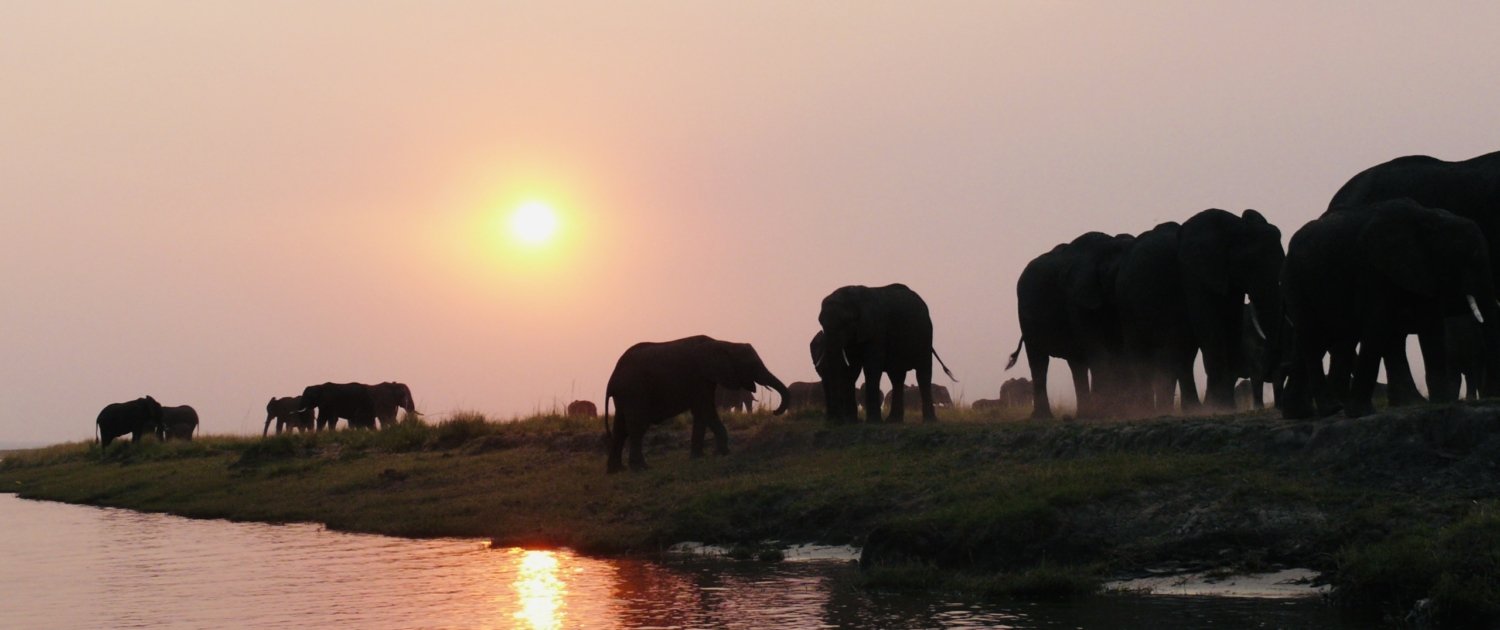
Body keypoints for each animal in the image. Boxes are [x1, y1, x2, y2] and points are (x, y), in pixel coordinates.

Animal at [603, 337, 792, 471]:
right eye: (752, 365)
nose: (774, 411)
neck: (723, 343)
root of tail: (612, 379)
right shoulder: (698, 376)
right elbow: (705, 409)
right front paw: (721, 453)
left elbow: (702, 412)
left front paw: (701, 456)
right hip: (634, 390)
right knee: (637, 425)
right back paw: (641, 467)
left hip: (626, 394)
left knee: (620, 427)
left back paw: (617, 470)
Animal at [816, 283, 954, 423]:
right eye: (821, 322)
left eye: (845, 322)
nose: (835, 421)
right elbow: (851, 369)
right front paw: (851, 421)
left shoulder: (877, 329)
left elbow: (872, 367)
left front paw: (872, 422)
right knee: (897, 377)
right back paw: (893, 421)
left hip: (925, 334)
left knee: (923, 373)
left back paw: (929, 421)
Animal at [1008, 231, 1134, 417]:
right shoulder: (1076, 299)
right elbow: (1096, 346)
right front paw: (1107, 411)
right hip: (1025, 315)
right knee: (1039, 360)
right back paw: (1043, 417)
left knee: (1076, 364)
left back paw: (1084, 413)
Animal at [1278, 199, 1500, 417]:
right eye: (1469, 256)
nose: (1491, 395)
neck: (1429, 218)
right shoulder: (1372, 271)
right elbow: (1377, 327)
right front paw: (1361, 413)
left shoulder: (1422, 272)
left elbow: (1431, 328)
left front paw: (1441, 403)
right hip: (1295, 281)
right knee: (1313, 337)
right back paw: (1330, 409)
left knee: (1318, 339)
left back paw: (1299, 413)